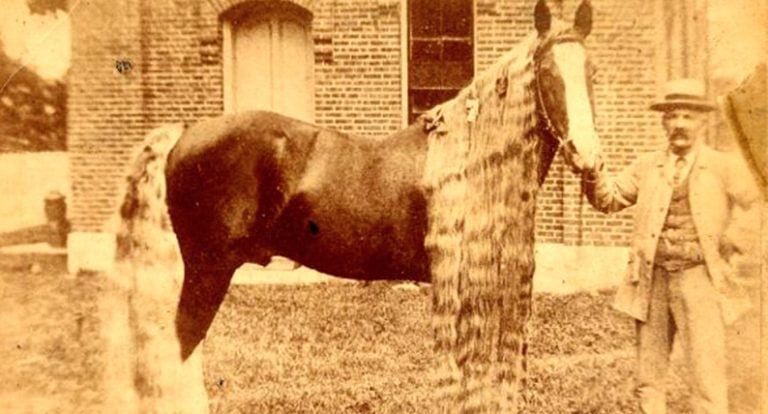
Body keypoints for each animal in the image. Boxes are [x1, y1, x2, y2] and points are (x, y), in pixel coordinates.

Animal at [118, 0, 601, 411]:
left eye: (591, 72)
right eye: (546, 72)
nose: (588, 156)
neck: (469, 155)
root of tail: (184, 133)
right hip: (208, 272)